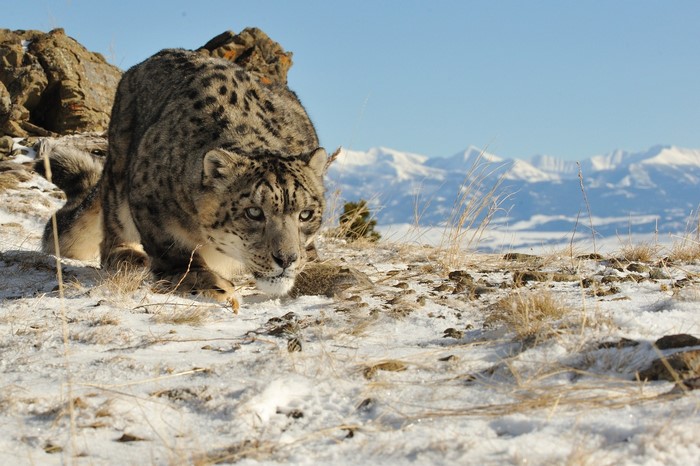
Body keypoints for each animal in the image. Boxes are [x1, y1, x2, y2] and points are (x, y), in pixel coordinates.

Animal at [38, 49, 327, 302]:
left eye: (306, 214)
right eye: (254, 212)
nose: (286, 259)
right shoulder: (148, 199)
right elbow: (173, 250)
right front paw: (209, 283)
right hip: (119, 169)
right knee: (111, 229)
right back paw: (128, 255)